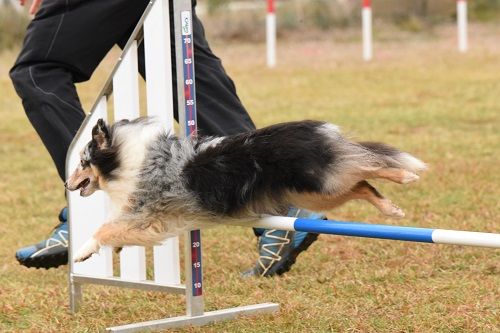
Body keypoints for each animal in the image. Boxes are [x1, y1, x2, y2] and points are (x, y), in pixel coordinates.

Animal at [66, 117, 426, 262]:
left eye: (82, 161)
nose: (67, 184)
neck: (125, 160)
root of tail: (314, 129)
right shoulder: (156, 220)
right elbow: (117, 231)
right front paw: (106, 249)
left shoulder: (148, 212)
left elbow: (105, 228)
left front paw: (82, 251)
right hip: (318, 192)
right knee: (363, 182)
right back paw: (392, 208)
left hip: (322, 180)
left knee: (369, 163)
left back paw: (406, 174)